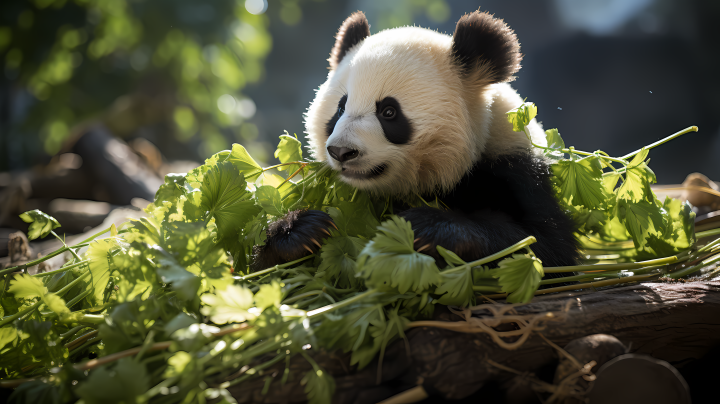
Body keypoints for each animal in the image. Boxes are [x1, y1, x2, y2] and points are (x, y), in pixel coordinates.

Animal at [250, 10, 576, 272]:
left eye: (389, 112)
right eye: (340, 108)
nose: (342, 151)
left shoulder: (513, 165)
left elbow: (544, 249)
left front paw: (425, 226)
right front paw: (300, 230)